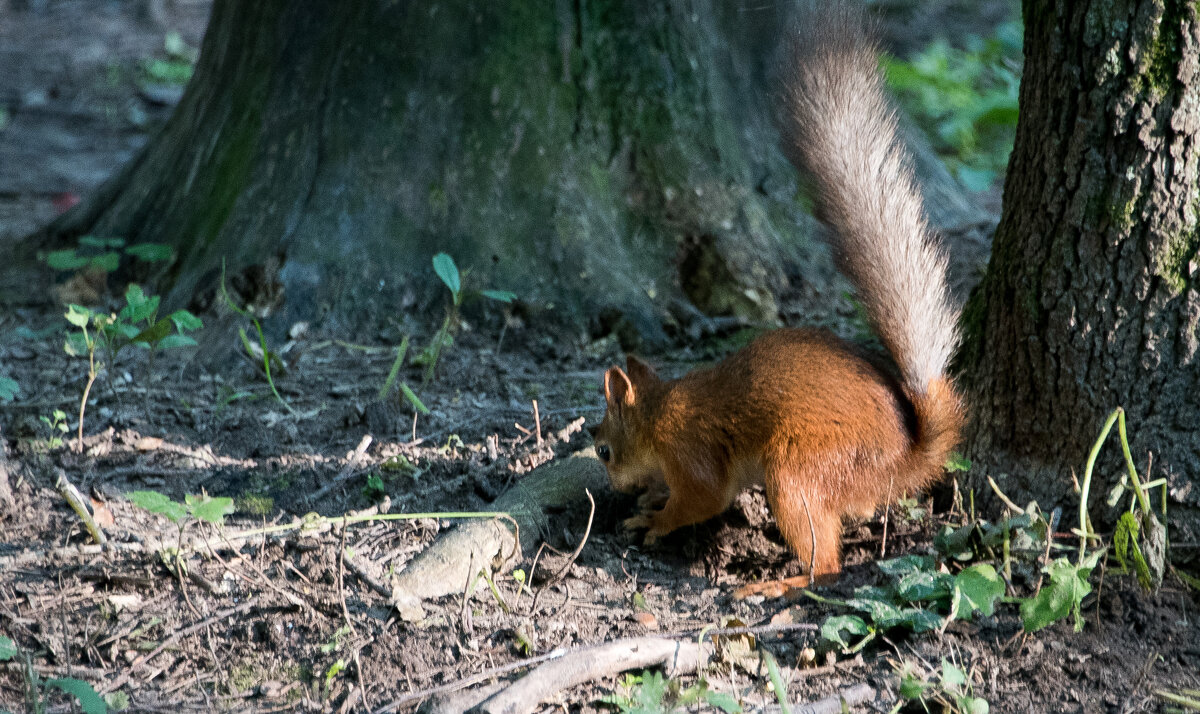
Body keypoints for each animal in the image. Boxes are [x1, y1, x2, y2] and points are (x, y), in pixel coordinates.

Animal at [592, 5, 964, 597]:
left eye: (603, 447)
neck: (658, 413)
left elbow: (703, 499)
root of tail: (902, 461)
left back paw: (777, 585)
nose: (613, 486)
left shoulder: (690, 452)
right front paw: (650, 498)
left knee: (825, 563)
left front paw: (655, 518)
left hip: (796, 471)